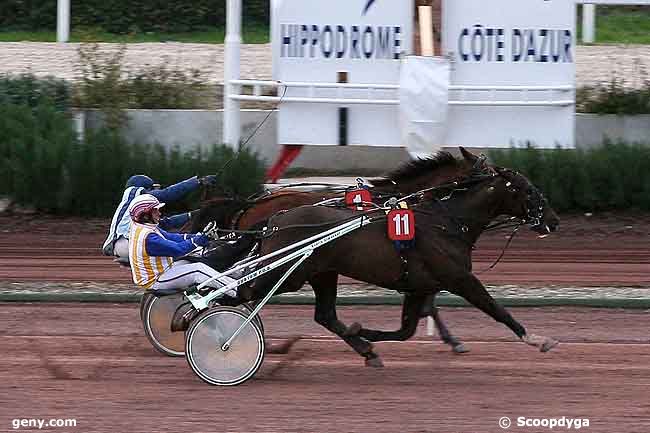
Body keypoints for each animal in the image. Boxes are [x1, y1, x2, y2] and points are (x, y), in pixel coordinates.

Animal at [224, 150, 556, 366]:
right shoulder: (459, 279)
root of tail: (270, 218)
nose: (553, 221)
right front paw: (536, 338)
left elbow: (407, 329)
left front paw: (363, 334)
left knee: (324, 315)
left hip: (321, 273)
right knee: (243, 294)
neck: (443, 220)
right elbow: (496, 309)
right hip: (288, 274)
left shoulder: (420, 285)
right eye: (529, 190)